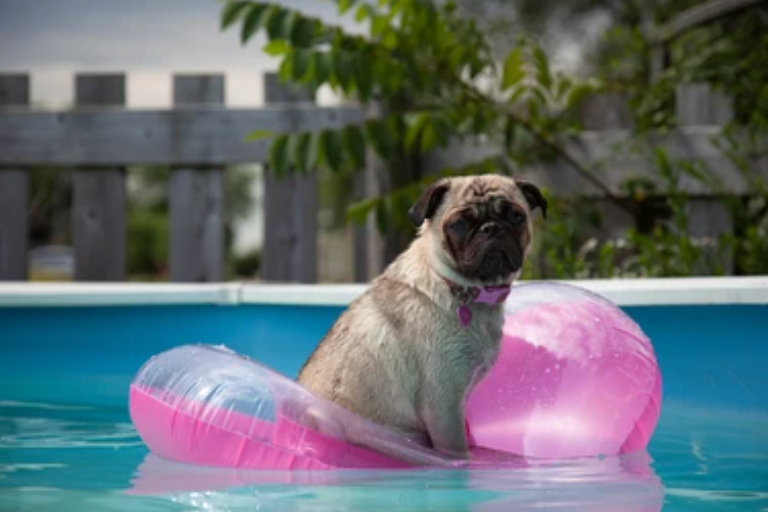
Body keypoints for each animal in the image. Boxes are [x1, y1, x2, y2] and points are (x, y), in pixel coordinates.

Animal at [298, 174, 544, 458]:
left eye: (516, 217)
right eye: (459, 224)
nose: (490, 228)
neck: (460, 288)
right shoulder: (443, 402)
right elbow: (457, 448)